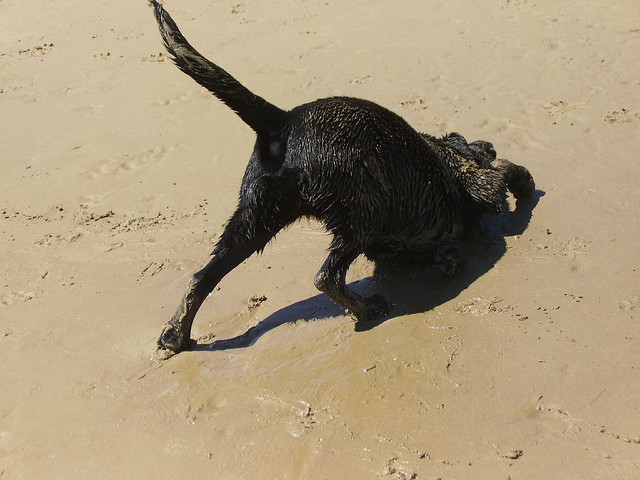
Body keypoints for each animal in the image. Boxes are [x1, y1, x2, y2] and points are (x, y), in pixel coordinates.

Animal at [148, 1, 532, 354]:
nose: (487, 144)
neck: (447, 155)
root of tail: (284, 121)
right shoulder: (482, 185)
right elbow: (506, 171)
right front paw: (523, 185)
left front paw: (448, 256)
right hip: (362, 211)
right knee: (326, 276)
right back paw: (368, 309)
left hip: (255, 221)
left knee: (202, 276)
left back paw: (175, 335)